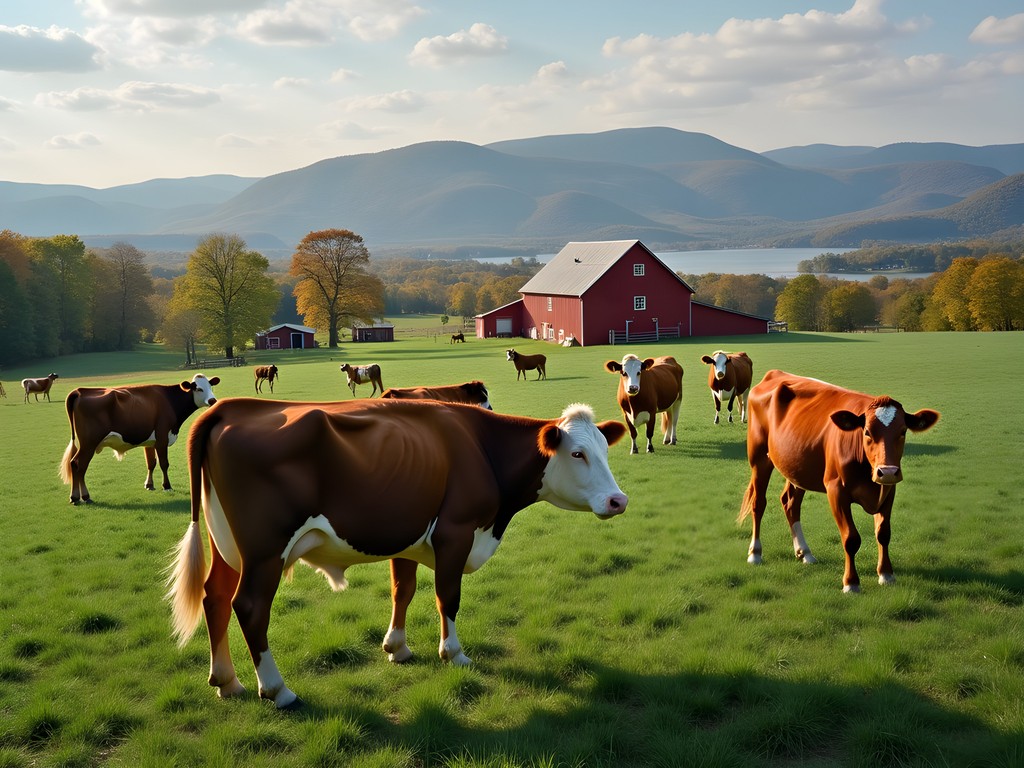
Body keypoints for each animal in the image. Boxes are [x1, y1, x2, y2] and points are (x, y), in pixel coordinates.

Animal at [59, 374, 220, 505]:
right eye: (198, 388)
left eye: (210, 385)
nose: (212, 400)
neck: (169, 400)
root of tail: (80, 391)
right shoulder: (162, 437)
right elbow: (164, 463)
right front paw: (167, 486)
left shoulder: (150, 442)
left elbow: (151, 463)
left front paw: (149, 485)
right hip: (89, 443)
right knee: (79, 465)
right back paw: (83, 497)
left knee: (74, 464)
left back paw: (76, 497)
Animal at [167, 398, 628, 708]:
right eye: (577, 453)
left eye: (605, 450)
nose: (618, 501)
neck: (481, 448)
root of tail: (232, 408)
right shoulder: (455, 532)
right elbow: (448, 597)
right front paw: (454, 653)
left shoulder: (408, 535)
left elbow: (402, 590)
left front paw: (398, 647)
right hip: (264, 552)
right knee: (250, 607)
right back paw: (278, 690)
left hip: (228, 547)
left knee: (215, 597)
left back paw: (227, 681)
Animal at [739, 370, 940, 592]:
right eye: (867, 432)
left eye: (903, 431)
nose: (887, 471)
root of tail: (775, 374)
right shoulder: (836, 491)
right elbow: (851, 538)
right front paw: (851, 583)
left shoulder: (888, 490)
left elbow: (883, 533)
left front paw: (886, 574)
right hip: (759, 458)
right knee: (759, 502)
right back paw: (755, 553)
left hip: (797, 466)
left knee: (790, 503)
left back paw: (804, 552)